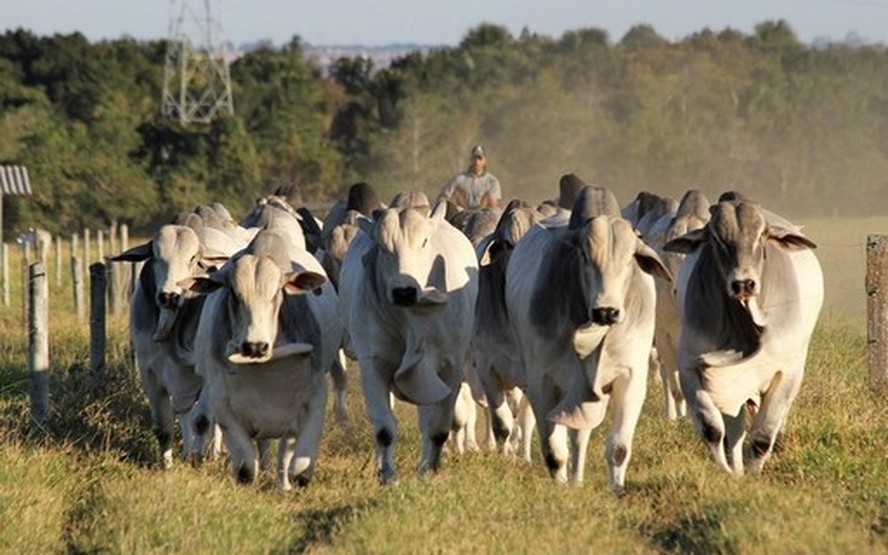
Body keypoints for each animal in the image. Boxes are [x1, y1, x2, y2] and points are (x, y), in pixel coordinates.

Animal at [184, 230, 344, 490]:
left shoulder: (315, 395)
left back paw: (283, 484)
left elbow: (299, 466)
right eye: (234, 294)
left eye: (277, 293)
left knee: (284, 453)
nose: (255, 346)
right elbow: (246, 469)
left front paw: (293, 480)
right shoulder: (222, 402)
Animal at [340, 199, 478, 482]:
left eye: (424, 242)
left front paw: (430, 470)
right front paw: (387, 475)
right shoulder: (373, 363)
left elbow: (438, 428)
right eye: (382, 247)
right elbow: (384, 428)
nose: (404, 291)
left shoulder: (452, 366)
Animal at [506, 187, 664, 496]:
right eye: (584, 256)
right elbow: (554, 451)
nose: (607, 311)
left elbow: (618, 448)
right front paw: (560, 487)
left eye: (630, 258)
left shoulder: (630, 379)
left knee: (580, 437)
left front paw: (617, 489)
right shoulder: (543, 383)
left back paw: (578, 478)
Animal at [664, 194, 824, 474]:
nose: (743, 284)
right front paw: (731, 473)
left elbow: (763, 435)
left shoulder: (787, 371)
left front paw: (754, 474)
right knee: (735, 430)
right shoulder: (691, 366)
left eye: (762, 235)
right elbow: (714, 429)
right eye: (716, 238)